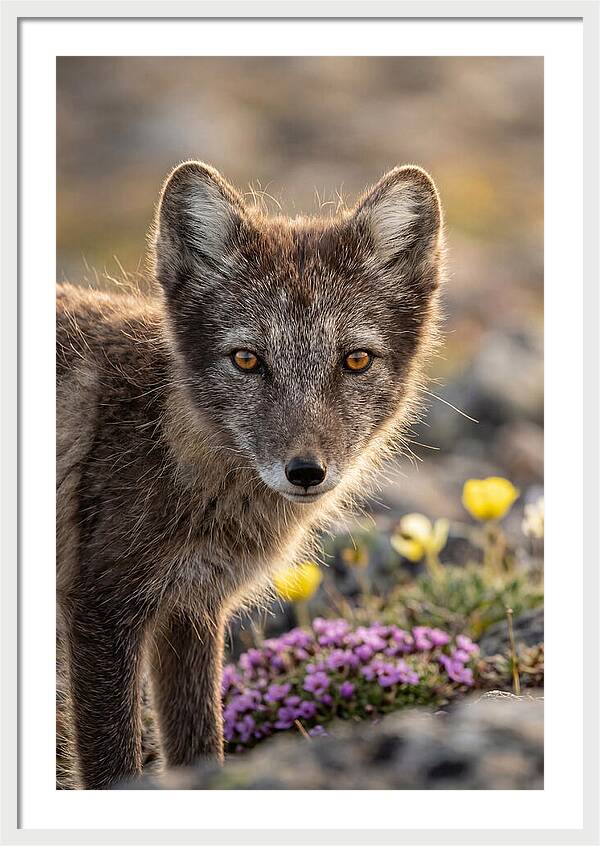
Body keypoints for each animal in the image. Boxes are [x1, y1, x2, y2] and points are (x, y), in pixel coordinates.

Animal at [56, 161, 444, 789]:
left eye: (355, 360)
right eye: (246, 360)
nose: (306, 472)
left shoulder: (191, 610)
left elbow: (199, 749)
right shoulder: (100, 607)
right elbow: (113, 767)